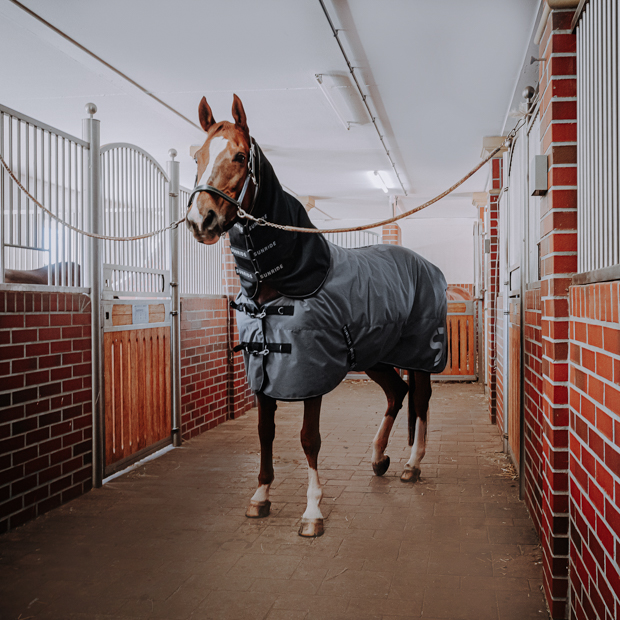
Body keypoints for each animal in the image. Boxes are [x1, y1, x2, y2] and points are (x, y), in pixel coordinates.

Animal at [184, 93, 446, 536]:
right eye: (198, 156)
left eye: (239, 156)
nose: (200, 220)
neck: (286, 281)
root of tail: (425, 265)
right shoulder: (262, 371)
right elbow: (265, 432)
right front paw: (261, 496)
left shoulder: (310, 372)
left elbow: (309, 438)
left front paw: (312, 512)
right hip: (373, 355)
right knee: (397, 393)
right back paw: (379, 458)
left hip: (419, 353)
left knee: (421, 397)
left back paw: (412, 464)